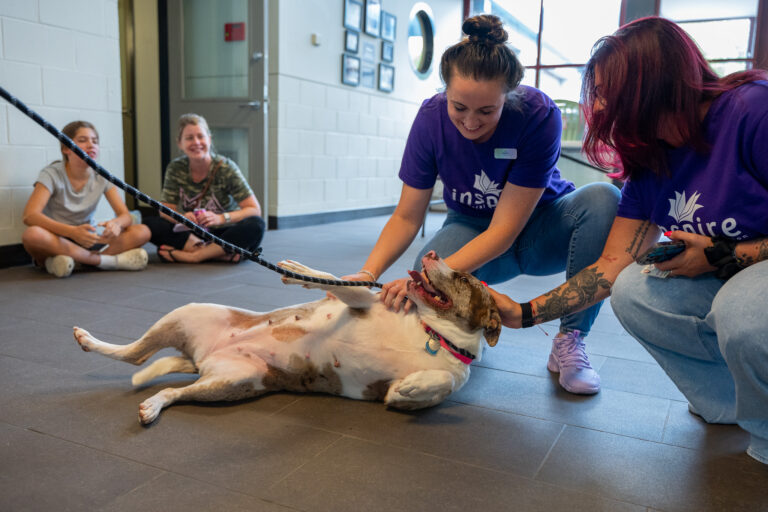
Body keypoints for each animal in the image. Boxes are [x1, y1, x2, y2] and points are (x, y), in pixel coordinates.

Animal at [73, 252, 504, 424]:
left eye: (464, 279)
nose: (431, 255)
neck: (433, 333)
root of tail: (200, 358)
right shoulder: (363, 301)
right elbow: (336, 281)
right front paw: (302, 272)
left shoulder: (431, 383)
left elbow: (437, 381)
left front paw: (414, 386)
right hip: (188, 313)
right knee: (133, 354)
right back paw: (88, 339)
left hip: (231, 382)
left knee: (168, 387)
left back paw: (152, 405)